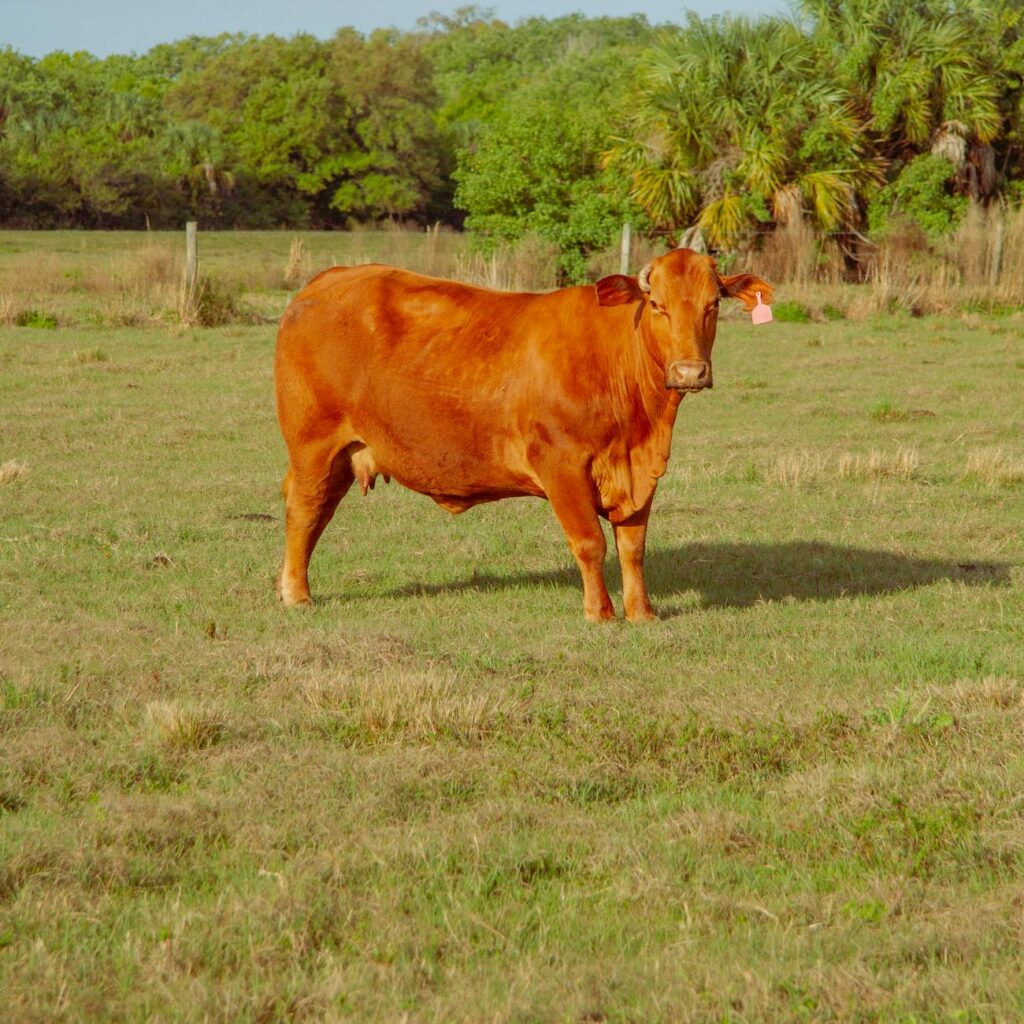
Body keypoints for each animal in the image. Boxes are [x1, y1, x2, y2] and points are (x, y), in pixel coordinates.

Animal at [274, 248, 773, 622]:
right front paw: (600, 613)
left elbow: (633, 548)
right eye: (656, 305)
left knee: (319, 513)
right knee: (304, 509)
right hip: (314, 445)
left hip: (344, 453)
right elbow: (590, 543)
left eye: (713, 305)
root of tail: (329, 279)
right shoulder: (562, 465)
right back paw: (297, 594)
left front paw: (642, 613)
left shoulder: (638, 473)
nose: (690, 371)